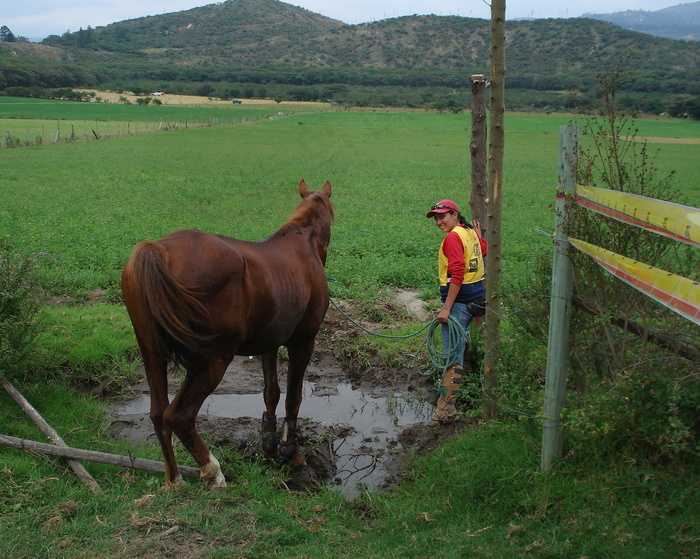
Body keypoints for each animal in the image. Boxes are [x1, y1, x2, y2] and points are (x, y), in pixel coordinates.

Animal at [121, 180, 334, 490]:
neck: (303, 243)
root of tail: (158, 249)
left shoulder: (269, 344)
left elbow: (271, 392)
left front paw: (269, 446)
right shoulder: (303, 342)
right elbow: (293, 398)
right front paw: (291, 452)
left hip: (152, 354)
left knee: (158, 414)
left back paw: (174, 481)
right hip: (213, 361)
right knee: (179, 416)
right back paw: (213, 472)